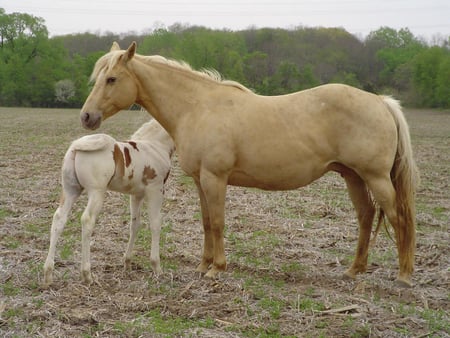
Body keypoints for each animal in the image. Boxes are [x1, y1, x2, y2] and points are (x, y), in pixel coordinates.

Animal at [42, 119, 174, 288]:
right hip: (97, 192)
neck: (155, 145)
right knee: (87, 220)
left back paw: (48, 275)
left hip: (70, 190)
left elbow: (135, 225)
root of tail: (76, 147)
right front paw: (157, 267)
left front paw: (127, 263)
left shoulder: (136, 195)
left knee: (59, 219)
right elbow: (156, 224)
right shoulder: (155, 190)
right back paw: (87, 275)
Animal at [80, 41, 418, 286]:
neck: (197, 107)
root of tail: (380, 101)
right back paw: (354, 270)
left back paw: (403, 276)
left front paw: (217, 268)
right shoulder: (200, 180)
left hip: (375, 177)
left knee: (398, 217)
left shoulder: (215, 178)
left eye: (112, 79)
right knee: (366, 216)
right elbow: (206, 222)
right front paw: (202, 266)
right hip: (353, 176)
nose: (86, 116)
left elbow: (218, 222)